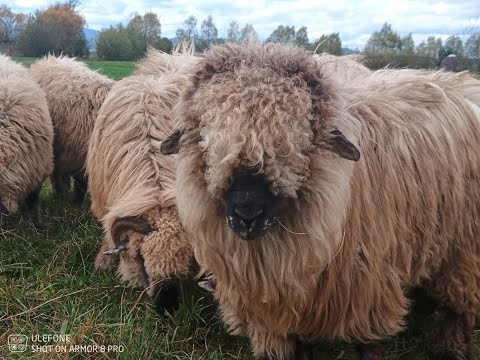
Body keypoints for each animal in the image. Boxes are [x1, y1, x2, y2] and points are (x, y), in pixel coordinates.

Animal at [161, 43, 480, 360]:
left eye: (300, 142)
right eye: (205, 138)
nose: (247, 214)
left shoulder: (365, 293)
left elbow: (368, 345)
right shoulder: (273, 319)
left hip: (462, 252)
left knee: (459, 310)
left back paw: (451, 350)